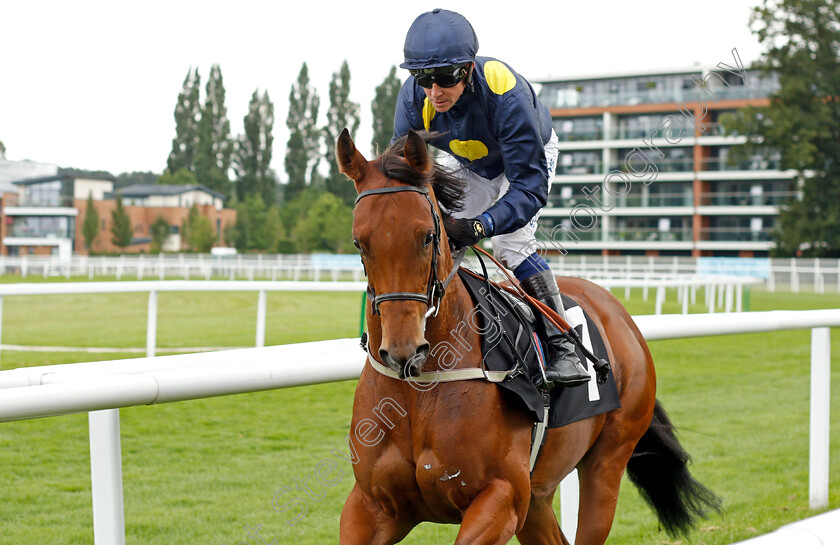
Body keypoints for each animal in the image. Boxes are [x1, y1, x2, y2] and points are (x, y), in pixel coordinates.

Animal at [338, 129, 720, 544]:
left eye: (427, 236)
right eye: (359, 242)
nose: (403, 351)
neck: (422, 388)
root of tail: (620, 316)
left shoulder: (503, 495)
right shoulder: (371, 506)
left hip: (607, 461)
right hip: (539, 495)